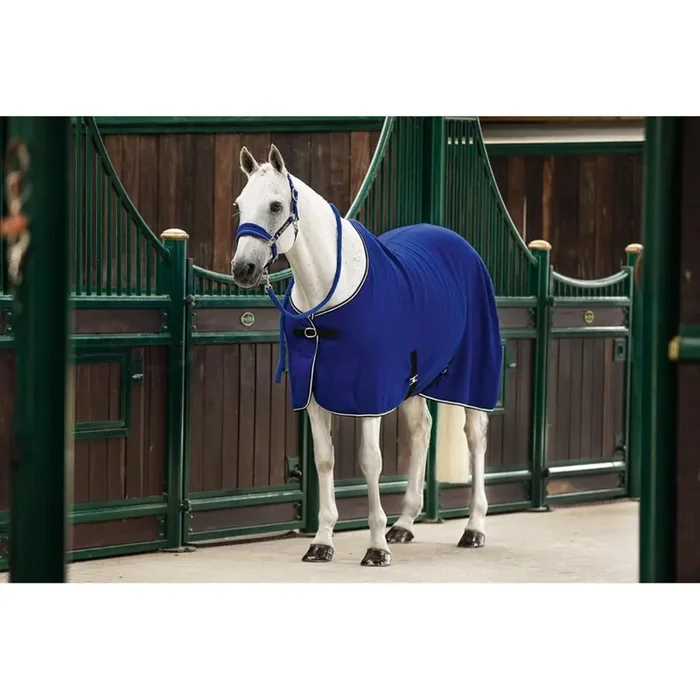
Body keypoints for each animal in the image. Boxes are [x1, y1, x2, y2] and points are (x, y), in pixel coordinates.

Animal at [230, 144, 503, 567]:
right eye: (240, 205)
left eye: (275, 205)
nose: (242, 269)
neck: (327, 298)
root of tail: (459, 244)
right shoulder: (312, 393)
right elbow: (324, 459)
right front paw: (322, 542)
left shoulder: (370, 394)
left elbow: (370, 460)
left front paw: (376, 548)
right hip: (413, 381)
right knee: (421, 430)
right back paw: (405, 524)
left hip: (471, 374)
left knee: (476, 437)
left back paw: (473, 528)